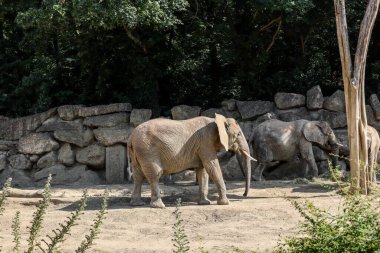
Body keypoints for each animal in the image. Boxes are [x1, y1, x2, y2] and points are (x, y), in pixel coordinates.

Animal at [127, 113, 255, 209]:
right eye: (238, 134)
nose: (244, 195)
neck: (215, 121)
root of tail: (131, 136)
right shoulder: (205, 143)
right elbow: (212, 167)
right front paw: (225, 203)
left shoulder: (202, 146)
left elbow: (203, 171)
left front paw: (205, 203)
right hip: (147, 150)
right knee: (154, 174)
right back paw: (159, 206)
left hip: (138, 152)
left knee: (138, 176)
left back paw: (137, 204)